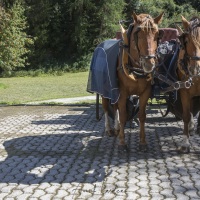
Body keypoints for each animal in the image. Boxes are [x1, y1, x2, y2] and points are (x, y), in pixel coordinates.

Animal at [102, 12, 163, 152]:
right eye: (138, 34)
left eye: (157, 35)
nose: (149, 64)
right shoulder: (122, 93)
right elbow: (123, 115)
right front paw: (122, 143)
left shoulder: (145, 92)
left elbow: (142, 116)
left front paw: (143, 142)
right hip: (104, 91)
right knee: (106, 108)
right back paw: (109, 129)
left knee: (114, 107)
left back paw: (117, 128)